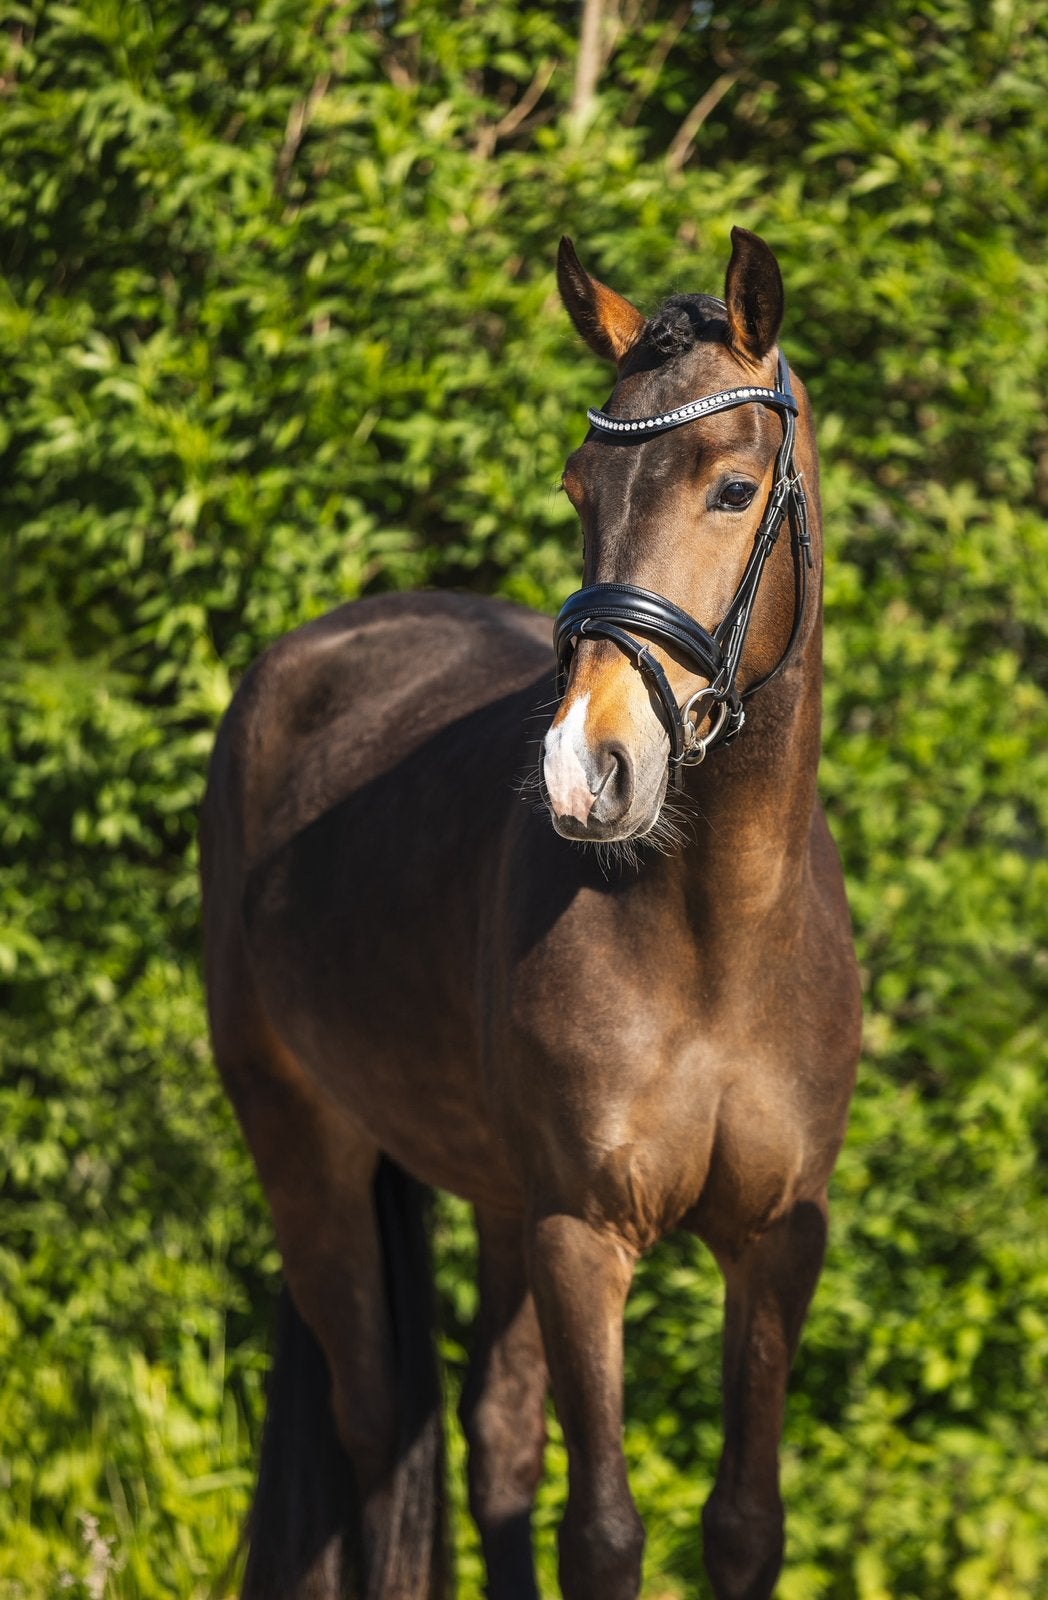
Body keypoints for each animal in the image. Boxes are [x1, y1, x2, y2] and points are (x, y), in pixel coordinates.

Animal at [201, 225, 862, 1600]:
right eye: (578, 489)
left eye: (732, 490)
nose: (584, 766)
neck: (718, 934)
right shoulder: (581, 1231)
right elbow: (602, 1531)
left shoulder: (777, 1238)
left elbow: (743, 1521)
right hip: (305, 1144)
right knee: (375, 1424)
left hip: (493, 1193)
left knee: (493, 1439)